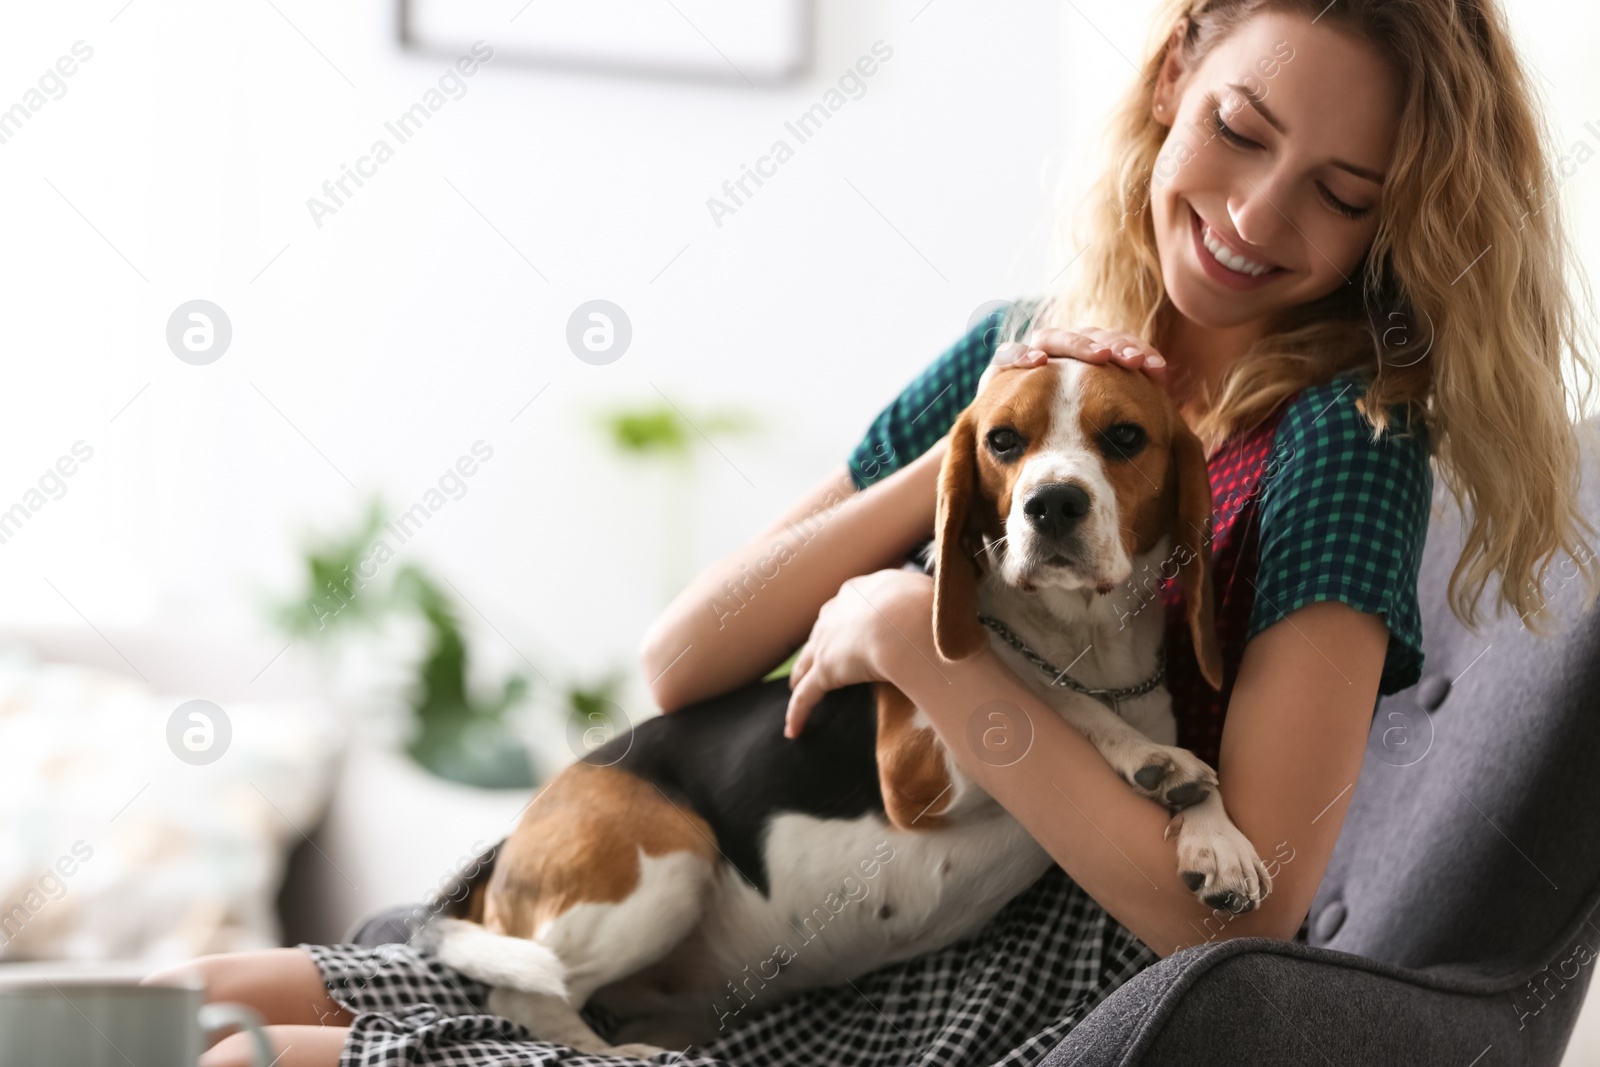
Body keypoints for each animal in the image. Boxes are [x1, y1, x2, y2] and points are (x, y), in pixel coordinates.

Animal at [428, 356, 1273, 1049]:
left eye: (1126, 436)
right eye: (1002, 440)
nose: (1052, 504)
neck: (1085, 641)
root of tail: (508, 849)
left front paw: (1215, 835)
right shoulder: (922, 769)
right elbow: (1048, 697)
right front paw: (1153, 758)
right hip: (669, 857)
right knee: (523, 994)